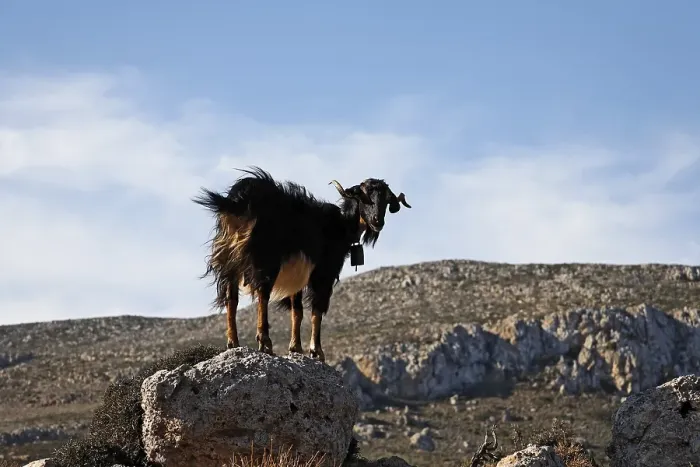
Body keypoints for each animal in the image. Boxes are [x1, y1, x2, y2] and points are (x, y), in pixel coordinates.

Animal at [192, 167, 411, 362]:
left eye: (386, 200)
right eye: (364, 196)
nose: (377, 221)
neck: (342, 226)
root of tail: (239, 199)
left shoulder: (298, 274)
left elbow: (297, 311)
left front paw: (296, 348)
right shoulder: (324, 273)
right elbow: (317, 310)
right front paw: (317, 351)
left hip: (230, 259)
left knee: (232, 298)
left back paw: (233, 343)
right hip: (265, 258)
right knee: (263, 292)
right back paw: (265, 342)